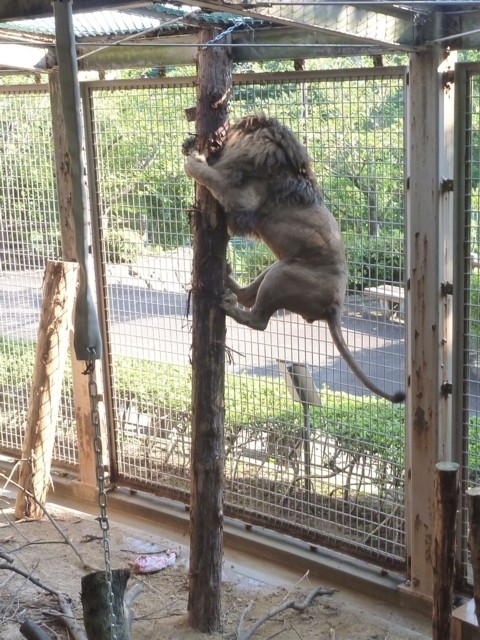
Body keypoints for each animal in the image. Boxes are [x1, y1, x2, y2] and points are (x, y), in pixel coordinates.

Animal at [184, 114, 404, 402]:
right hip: (278, 266)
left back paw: (228, 304)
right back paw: (228, 277)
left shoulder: (239, 198)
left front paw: (194, 158)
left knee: (259, 320)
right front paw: (189, 144)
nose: (224, 133)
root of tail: (335, 307)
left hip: (281, 277)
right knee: (248, 297)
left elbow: (209, 175)